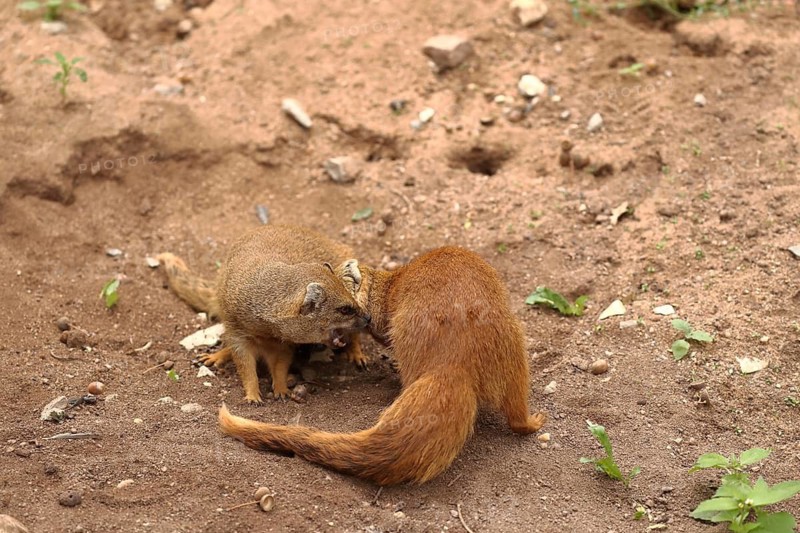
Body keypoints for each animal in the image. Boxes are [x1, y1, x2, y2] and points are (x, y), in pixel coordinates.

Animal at [157, 224, 371, 403]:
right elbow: (244, 364)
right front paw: (252, 394)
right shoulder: (237, 330)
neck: (265, 331)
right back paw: (216, 355)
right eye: (344, 309)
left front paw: (281, 389)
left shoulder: (285, 342)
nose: (367, 318)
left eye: (350, 302)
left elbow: (281, 363)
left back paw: (356, 354)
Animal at [218, 246, 546, 484]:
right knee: (516, 411)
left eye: (346, 306)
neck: (389, 284)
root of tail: (453, 365)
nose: (362, 320)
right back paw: (533, 422)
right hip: (515, 351)